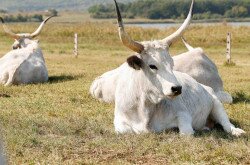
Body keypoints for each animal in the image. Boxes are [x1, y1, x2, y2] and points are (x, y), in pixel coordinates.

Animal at [92, 0, 246, 137]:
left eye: (172, 64)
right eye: (152, 66)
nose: (177, 88)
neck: (144, 106)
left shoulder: (183, 114)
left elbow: (186, 133)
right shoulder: (120, 122)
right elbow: (125, 131)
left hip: (216, 102)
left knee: (226, 123)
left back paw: (236, 131)